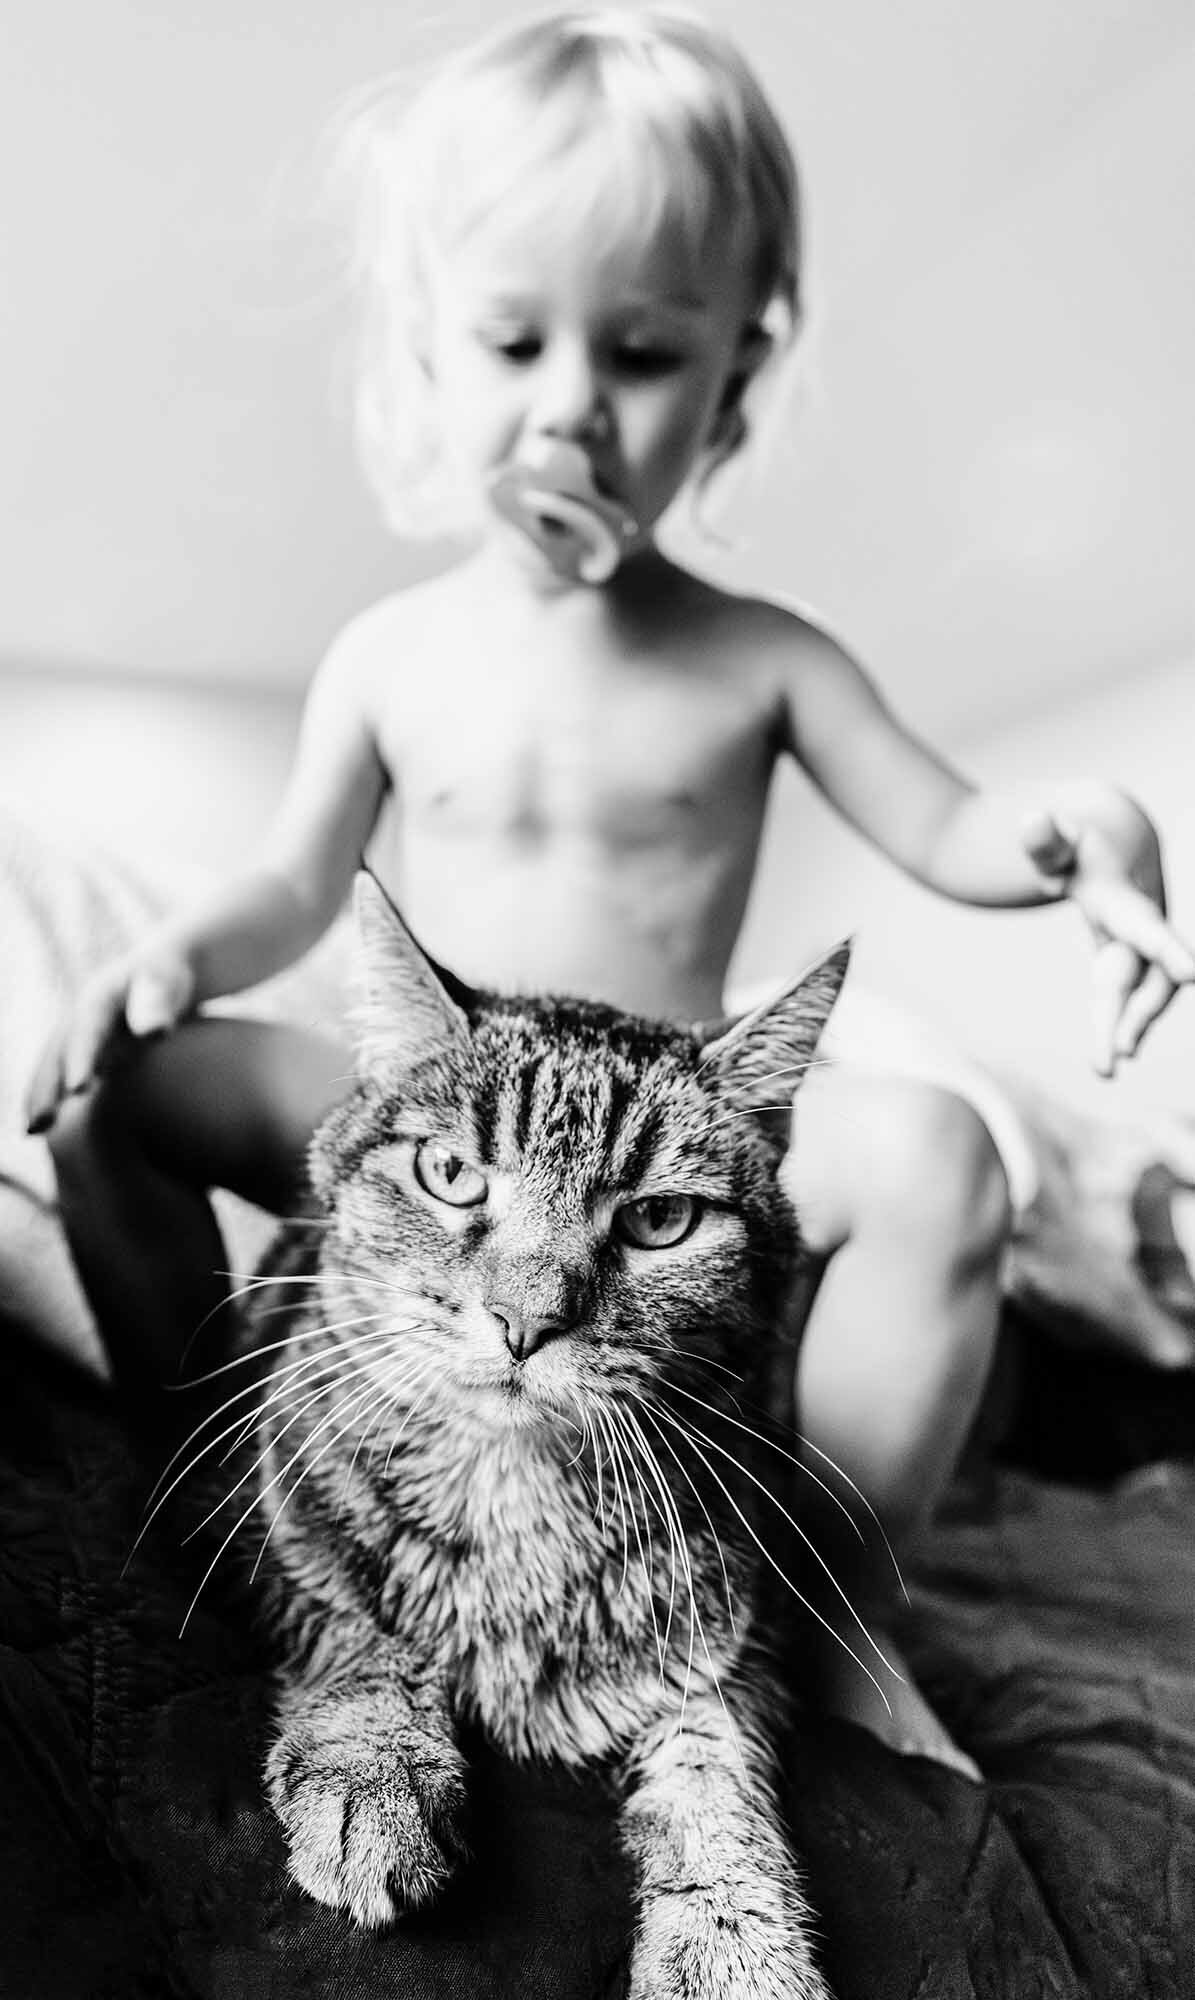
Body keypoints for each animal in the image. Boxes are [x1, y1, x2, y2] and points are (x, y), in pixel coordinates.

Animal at [240, 888, 851, 2000]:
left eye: (660, 1219)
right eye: (448, 1173)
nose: (527, 1319)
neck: (512, 1492)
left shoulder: (729, 1649)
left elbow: (715, 1785)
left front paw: (736, 1946)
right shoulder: (281, 1532)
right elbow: (361, 1631)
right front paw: (375, 1768)